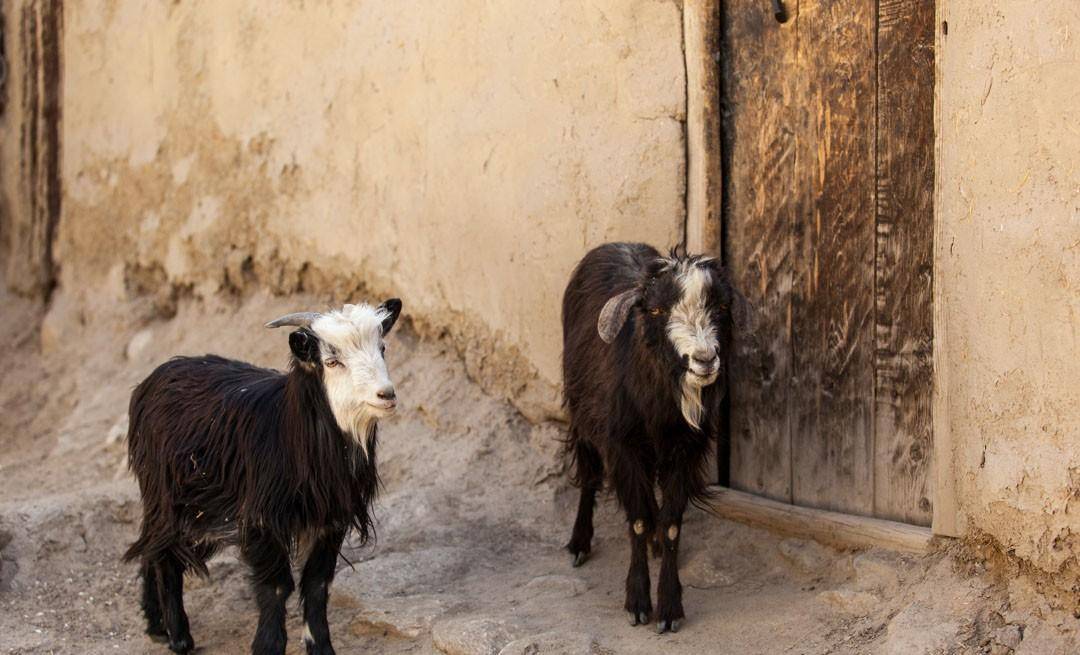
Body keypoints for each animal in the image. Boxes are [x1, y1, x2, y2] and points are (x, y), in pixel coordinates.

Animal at [119, 302, 406, 655]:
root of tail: (151, 380)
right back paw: (179, 637)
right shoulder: (261, 518)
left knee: (151, 544)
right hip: (165, 494)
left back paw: (155, 624)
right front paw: (268, 646)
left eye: (382, 348)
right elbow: (276, 586)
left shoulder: (330, 520)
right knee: (165, 554)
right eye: (332, 361)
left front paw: (321, 647)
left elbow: (317, 583)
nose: (386, 395)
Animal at [557, 244, 743, 635]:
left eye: (720, 307)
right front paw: (638, 603)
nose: (704, 360)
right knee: (589, 475)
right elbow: (638, 519)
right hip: (581, 411)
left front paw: (670, 608)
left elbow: (671, 524)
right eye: (657, 310)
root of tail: (613, 244)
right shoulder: (622, 446)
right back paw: (579, 542)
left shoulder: (685, 450)